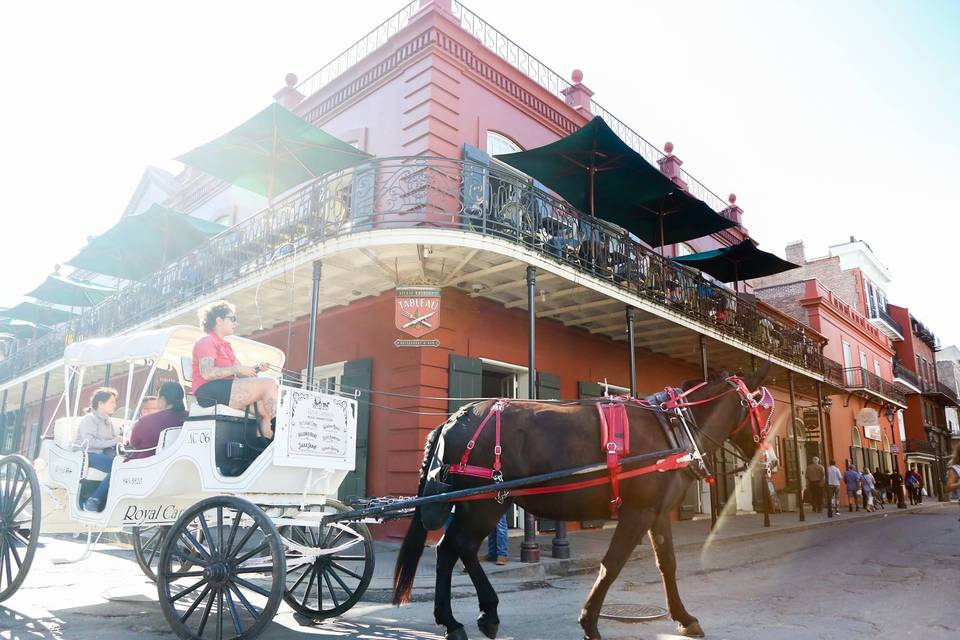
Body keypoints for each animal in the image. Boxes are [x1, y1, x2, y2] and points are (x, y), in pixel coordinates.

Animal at [394, 364, 776, 640]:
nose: (771, 460)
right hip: (486, 502)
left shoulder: (656, 512)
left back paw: (451, 619)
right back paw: (484, 612)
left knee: (448, 549)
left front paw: (683, 617)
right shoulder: (637, 513)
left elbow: (667, 564)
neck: (673, 427)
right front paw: (589, 620)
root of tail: (455, 418)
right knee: (461, 546)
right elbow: (612, 565)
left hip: (475, 503)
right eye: (763, 407)